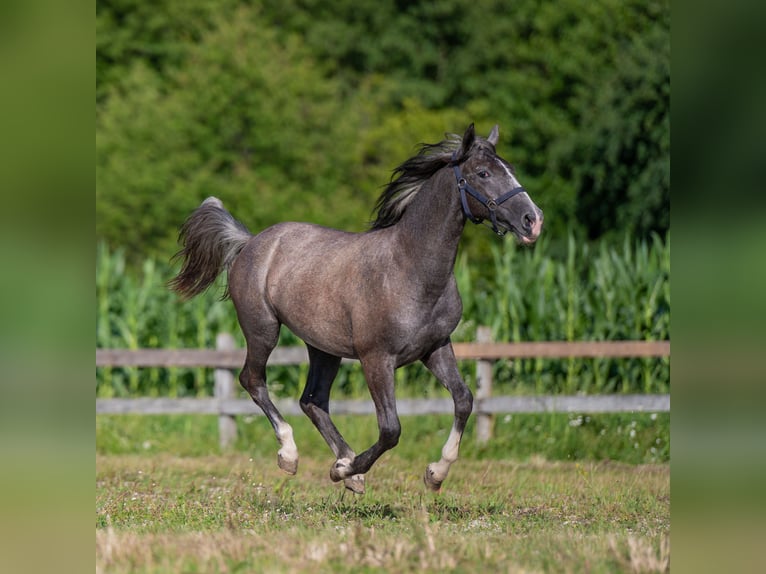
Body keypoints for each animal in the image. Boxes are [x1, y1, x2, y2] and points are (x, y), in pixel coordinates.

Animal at [172, 122, 544, 496]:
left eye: (509, 168)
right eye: (483, 173)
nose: (533, 220)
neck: (410, 268)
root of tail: (250, 242)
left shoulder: (435, 348)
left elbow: (464, 400)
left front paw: (434, 474)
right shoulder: (376, 358)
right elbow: (391, 429)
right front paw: (346, 469)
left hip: (323, 347)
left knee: (313, 400)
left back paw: (346, 467)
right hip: (263, 330)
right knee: (253, 380)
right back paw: (293, 456)